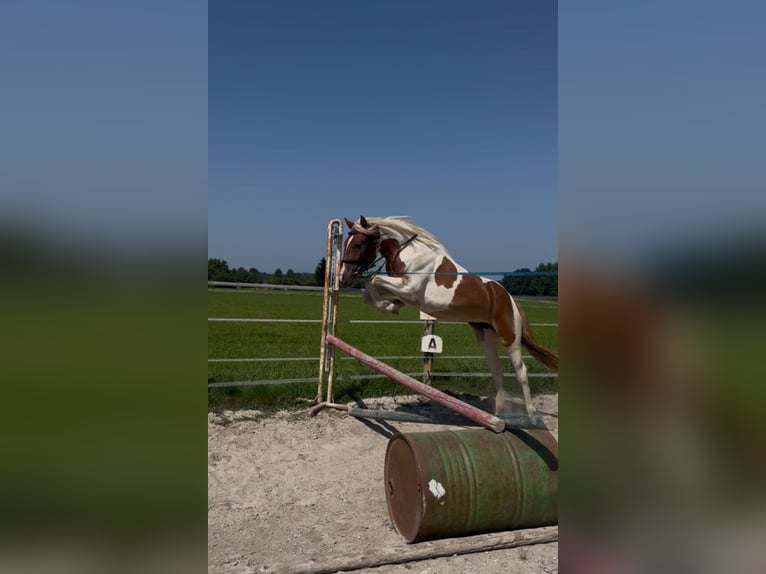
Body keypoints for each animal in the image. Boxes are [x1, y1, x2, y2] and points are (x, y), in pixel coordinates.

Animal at [339, 215, 559, 415]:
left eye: (358, 244)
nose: (343, 278)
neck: (407, 252)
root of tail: (510, 299)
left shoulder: (410, 288)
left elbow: (372, 280)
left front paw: (389, 306)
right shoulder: (403, 290)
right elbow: (368, 291)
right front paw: (391, 305)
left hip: (509, 337)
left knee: (521, 371)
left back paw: (530, 414)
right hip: (486, 337)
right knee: (497, 371)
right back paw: (498, 412)